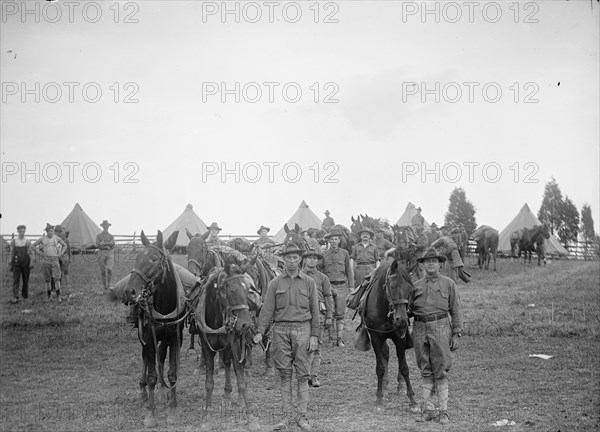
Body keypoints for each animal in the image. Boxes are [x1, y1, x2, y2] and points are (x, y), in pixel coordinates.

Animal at [125, 230, 191, 428]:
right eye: (137, 257)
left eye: (154, 259)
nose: (130, 291)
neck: (164, 305)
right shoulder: (148, 338)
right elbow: (152, 375)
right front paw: (151, 413)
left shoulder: (175, 338)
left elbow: (172, 373)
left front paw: (173, 410)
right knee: (146, 362)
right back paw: (143, 391)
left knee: (160, 356)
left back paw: (163, 393)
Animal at [192, 258, 258, 430]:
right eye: (232, 290)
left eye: (248, 290)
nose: (246, 324)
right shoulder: (207, 347)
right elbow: (209, 383)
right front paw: (206, 417)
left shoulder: (234, 344)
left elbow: (241, 381)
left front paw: (250, 417)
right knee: (227, 364)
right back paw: (227, 397)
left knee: (233, 366)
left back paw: (236, 401)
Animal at [360, 258, 418, 410]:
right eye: (392, 287)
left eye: (411, 290)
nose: (401, 319)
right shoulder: (376, 337)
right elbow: (380, 367)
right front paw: (379, 397)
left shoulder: (399, 337)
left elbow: (404, 367)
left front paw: (412, 399)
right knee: (385, 353)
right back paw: (385, 386)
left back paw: (400, 385)